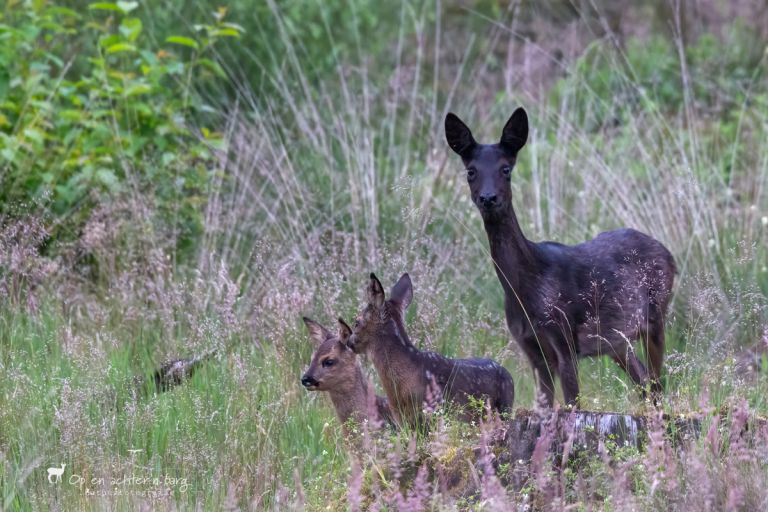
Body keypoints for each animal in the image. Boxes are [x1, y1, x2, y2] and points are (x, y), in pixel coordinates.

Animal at [444, 109, 672, 408]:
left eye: (506, 169)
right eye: (471, 171)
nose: (488, 198)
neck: (527, 290)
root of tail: (667, 252)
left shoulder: (565, 338)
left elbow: (573, 404)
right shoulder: (531, 349)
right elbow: (544, 406)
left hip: (655, 315)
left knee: (657, 384)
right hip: (617, 341)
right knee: (645, 382)